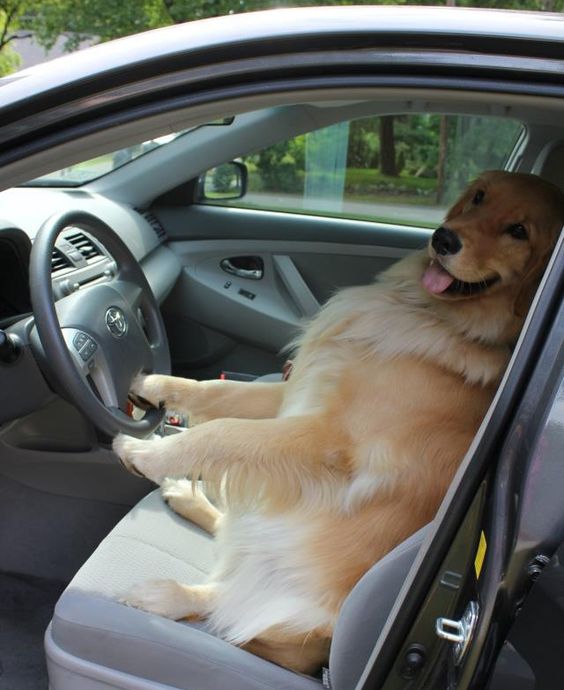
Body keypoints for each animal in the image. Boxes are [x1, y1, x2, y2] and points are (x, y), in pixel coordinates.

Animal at [112, 171, 560, 672]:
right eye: (479, 197)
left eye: (518, 231)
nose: (444, 239)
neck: (425, 311)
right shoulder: (297, 393)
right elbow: (211, 392)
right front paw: (152, 383)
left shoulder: (332, 439)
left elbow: (221, 433)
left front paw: (145, 452)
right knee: (229, 540)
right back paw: (188, 498)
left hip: (297, 617)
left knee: (227, 603)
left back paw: (164, 593)